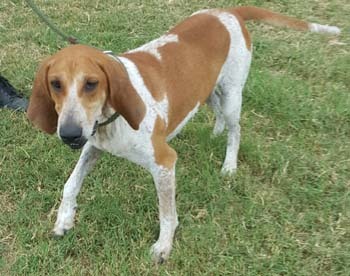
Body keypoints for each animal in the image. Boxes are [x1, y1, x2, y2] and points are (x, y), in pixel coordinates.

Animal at [26, 5, 340, 260]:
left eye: (91, 84)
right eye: (55, 84)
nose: (68, 134)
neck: (110, 118)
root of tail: (229, 11)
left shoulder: (164, 162)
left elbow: (168, 214)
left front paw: (163, 247)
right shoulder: (94, 146)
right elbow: (70, 184)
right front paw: (64, 220)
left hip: (232, 96)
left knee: (236, 131)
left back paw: (229, 165)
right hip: (208, 89)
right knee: (215, 109)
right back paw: (215, 132)